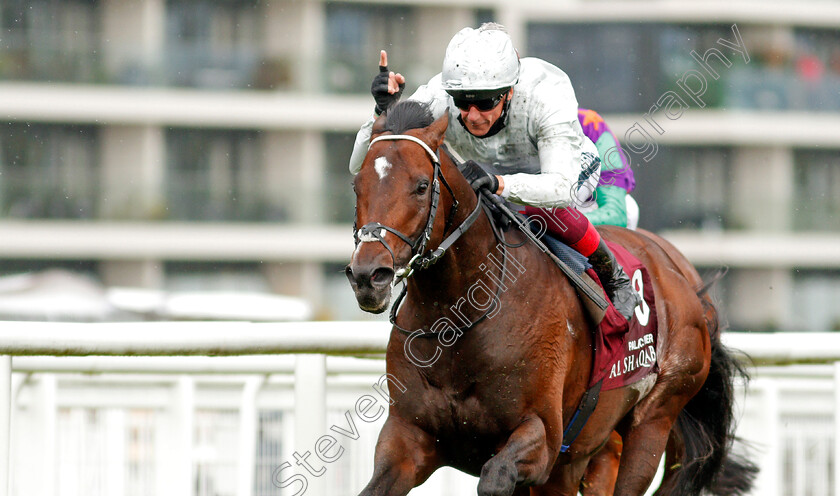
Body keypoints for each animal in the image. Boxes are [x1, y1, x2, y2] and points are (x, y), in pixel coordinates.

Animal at [344, 101, 752, 496]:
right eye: (357, 184)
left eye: (421, 185)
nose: (368, 275)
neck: (460, 317)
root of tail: (684, 279)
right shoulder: (408, 437)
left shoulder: (542, 438)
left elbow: (495, 479)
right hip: (582, 454)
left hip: (654, 420)